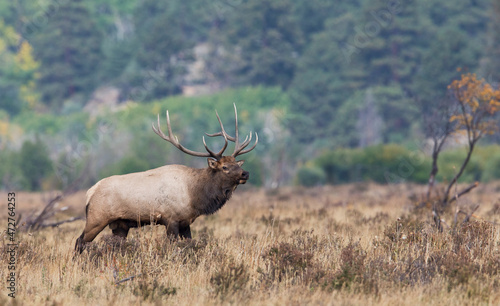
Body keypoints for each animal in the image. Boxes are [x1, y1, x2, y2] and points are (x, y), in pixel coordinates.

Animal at [77, 104, 262, 252]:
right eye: (224, 167)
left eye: (237, 164)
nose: (245, 173)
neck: (195, 195)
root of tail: (89, 193)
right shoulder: (171, 219)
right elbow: (172, 246)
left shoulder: (186, 221)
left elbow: (190, 243)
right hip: (96, 218)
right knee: (79, 241)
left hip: (120, 224)